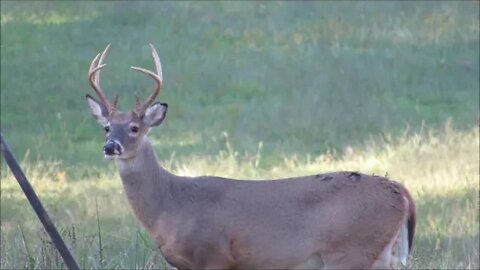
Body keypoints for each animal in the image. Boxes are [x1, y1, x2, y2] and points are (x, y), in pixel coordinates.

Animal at [84, 44, 414, 270]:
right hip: (380, 255)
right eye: (106, 127)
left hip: (351, 251)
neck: (170, 205)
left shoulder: (213, 254)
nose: (110, 147)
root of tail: (400, 191)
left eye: (135, 128)